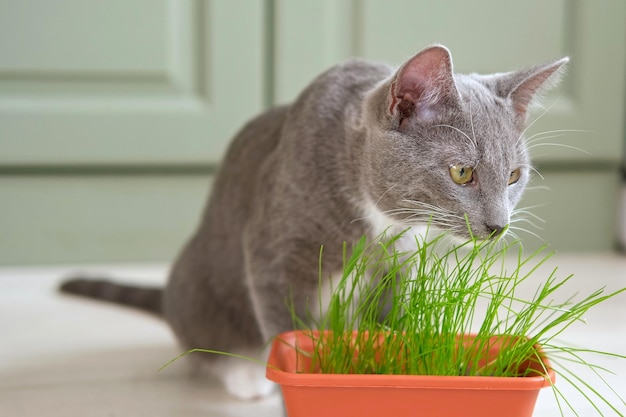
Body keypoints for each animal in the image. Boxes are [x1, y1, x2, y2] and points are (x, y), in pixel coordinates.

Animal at [61, 45, 568, 400]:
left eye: (514, 176)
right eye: (462, 172)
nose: (499, 224)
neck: (375, 219)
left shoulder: (397, 263)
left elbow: (389, 321)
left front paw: (393, 362)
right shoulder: (274, 250)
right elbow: (287, 327)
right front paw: (292, 376)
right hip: (198, 283)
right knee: (204, 340)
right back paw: (243, 375)